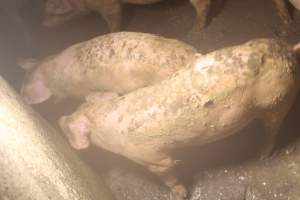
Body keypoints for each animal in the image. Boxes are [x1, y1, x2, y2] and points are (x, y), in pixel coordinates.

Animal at [59, 38, 300, 200]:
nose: (60, 119)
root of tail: (288, 48)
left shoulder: (154, 159)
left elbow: (169, 175)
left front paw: (180, 194)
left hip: (277, 101)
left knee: (273, 129)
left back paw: (262, 155)